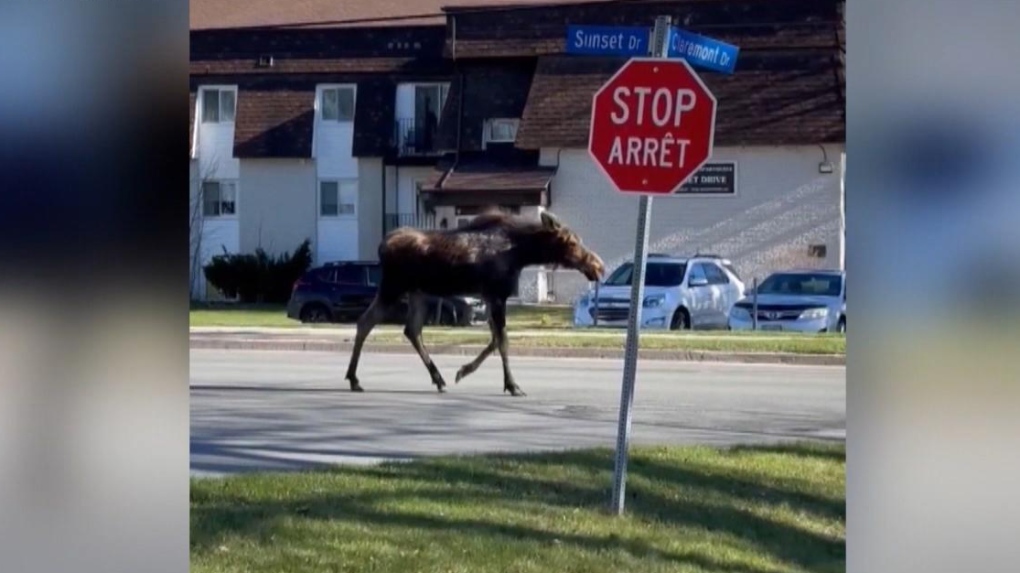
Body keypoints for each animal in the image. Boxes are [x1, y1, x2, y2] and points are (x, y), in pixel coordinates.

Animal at [346, 206, 603, 395]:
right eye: (571, 242)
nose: (598, 266)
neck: (521, 254)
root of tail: (382, 246)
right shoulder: (497, 295)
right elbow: (503, 341)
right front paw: (512, 385)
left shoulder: (489, 297)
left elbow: (494, 340)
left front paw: (463, 371)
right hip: (393, 287)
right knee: (366, 322)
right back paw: (354, 378)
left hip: (418, 292)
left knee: (412, 330)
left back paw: (438, 378)